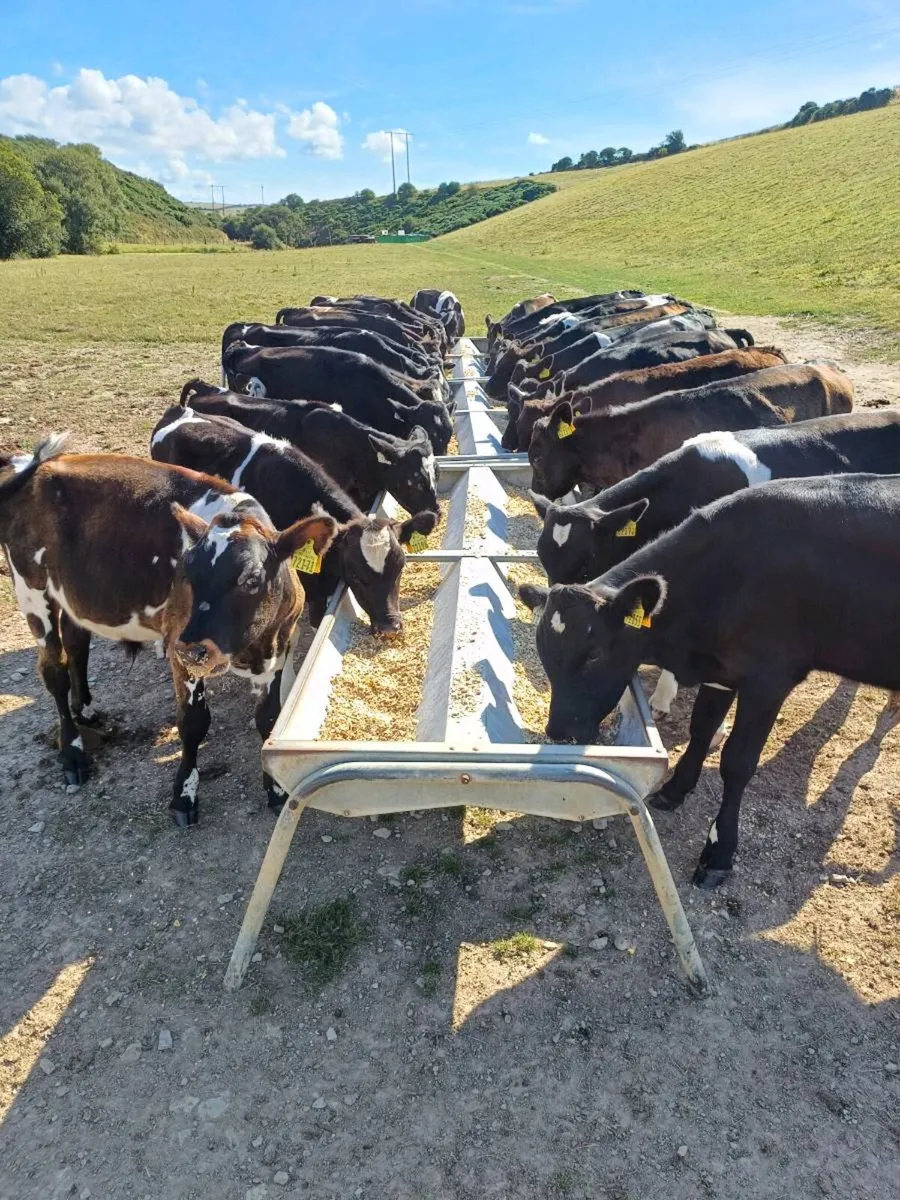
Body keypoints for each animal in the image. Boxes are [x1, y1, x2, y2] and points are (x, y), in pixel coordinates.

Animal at [0, 434, 337, 824]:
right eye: (185, 575)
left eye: (251, 579)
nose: (193, 648)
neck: (255, 648)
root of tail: (36, 465)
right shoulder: (180, 648)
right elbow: (193, 723)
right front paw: (184, 795)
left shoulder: (280, 646)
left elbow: (269, 719)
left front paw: (276, 789)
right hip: (30, 588)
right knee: (54, 670)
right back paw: (72, 753)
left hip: (72, 594)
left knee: (77, 642)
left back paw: (85, 710)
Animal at [519, 473, 900, 887]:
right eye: (543, 652)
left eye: (594, 654)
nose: (559, 733)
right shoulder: (721, 672)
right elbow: (700, 729)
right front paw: (675, 789)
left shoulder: (768, 680)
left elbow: (737, 762)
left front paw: (719, 852)